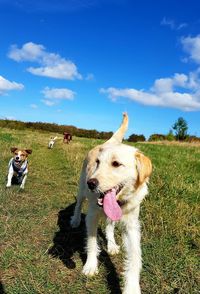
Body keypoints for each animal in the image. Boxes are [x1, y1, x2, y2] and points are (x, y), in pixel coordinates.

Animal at [70, 113, 152, 294]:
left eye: (116, 164)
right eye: (98, 163)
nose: (91, 183)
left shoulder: (132, 226)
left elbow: (135, 257)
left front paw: (132, 287)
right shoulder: (92, 217)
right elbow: (92, 242)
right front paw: (91, 265)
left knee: (109, 225)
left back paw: (112, 244)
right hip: (81, 189)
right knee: (78, 204)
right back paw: (75, 220)